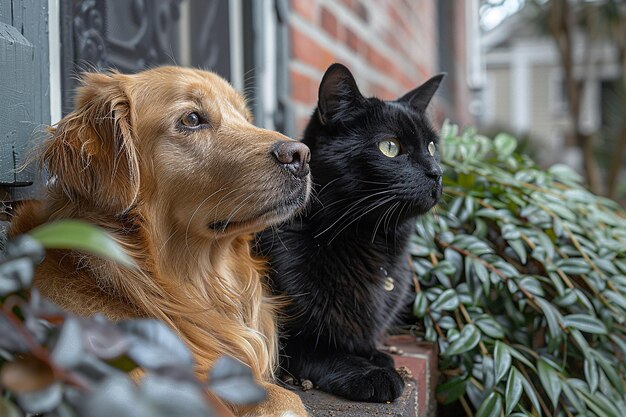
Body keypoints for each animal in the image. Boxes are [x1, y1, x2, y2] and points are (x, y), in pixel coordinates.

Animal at [256, 63, 442, 402]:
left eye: (432, 147)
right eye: (390, 147)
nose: (437, 173)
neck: (374, 244)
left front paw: (377, 356)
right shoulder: (279, 337)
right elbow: (321, 351)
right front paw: (371, 373)